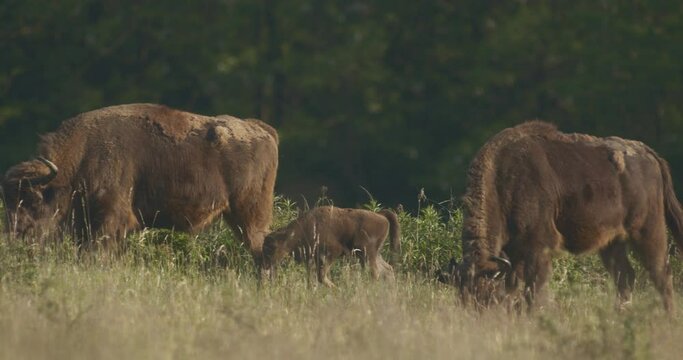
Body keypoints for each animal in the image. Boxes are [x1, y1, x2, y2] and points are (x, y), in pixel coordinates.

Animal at [0, 102, 278, 262]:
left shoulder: (111, 220)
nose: (17, 235)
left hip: (250, 216)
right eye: (8, 202)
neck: (82, 155)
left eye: (33, 200)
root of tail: (262, 129)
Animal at [262, 205, 400, 286]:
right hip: (373, 254)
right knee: (387, 269)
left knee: (375, 272)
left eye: (272, 247)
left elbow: (322, 276)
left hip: (366, 253)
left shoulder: (331, 253)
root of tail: (381, 215)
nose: (266, 265)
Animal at [448, 121, 683, 312]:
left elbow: (534, 289)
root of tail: (650, 154)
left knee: (661, 274)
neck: (504, 182)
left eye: (488, 292)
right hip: (611, 243)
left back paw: (668, 317)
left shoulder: (538, 247)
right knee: (625, 277)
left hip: (647, 231)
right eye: (462, 295)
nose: (479, 316)